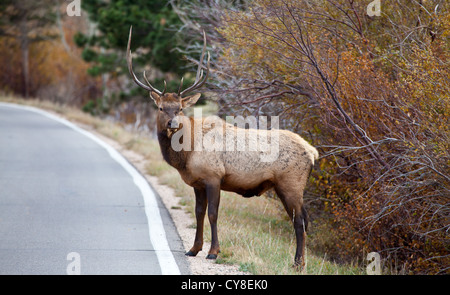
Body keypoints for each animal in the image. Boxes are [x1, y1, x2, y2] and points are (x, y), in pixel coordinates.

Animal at [125, 26, 318, 270]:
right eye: (161, 108)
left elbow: (213, 214)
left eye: (179, 108)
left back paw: (298, 263)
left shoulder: (213, 176)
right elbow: (198, 213)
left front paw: (213, 252)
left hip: (291, 183)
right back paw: (299, 262)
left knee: (300, 221)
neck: (186, 155)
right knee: (304, 219)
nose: (173, 124)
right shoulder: (197, 182)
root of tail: (313, 153)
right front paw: (193, 249)